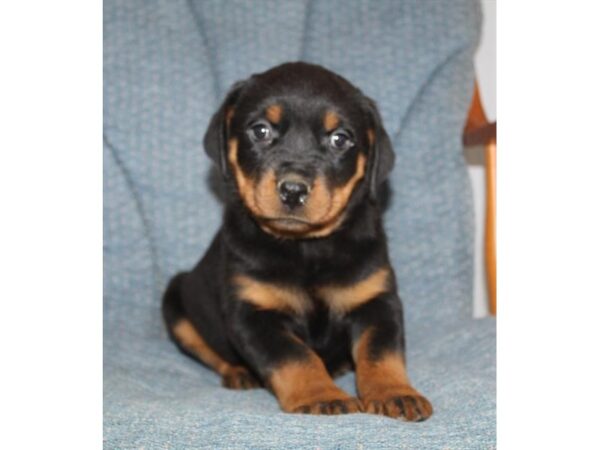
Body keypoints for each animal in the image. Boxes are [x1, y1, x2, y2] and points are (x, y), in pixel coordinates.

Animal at [162, 61, 434, 420]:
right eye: (260, 130)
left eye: (340, 139)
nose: (293, 190)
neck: (306, 247)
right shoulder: (252, 312)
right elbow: (295, 356)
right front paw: (321, 395)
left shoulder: (376, 299)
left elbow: (380, 353)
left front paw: (396, 393)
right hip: (176, 302)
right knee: (209, 351)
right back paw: (240, 373)